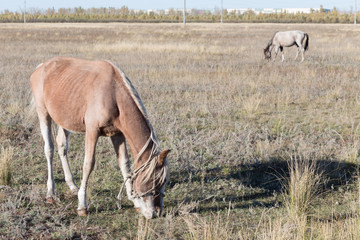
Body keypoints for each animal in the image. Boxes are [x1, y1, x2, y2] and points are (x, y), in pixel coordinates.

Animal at [29, 56, 170, 219]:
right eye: (154, 180)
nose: (156, 212)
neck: (113, 94)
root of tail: (41, 67)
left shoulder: (117, 134)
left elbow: (124, 164)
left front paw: (134, 201)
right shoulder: (92, 131)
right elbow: (88, 164)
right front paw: (82, 206)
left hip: (64, 121)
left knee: (62, 146)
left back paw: (72, 185)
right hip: (43, 113)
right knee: (49, 149)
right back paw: (51, 193)